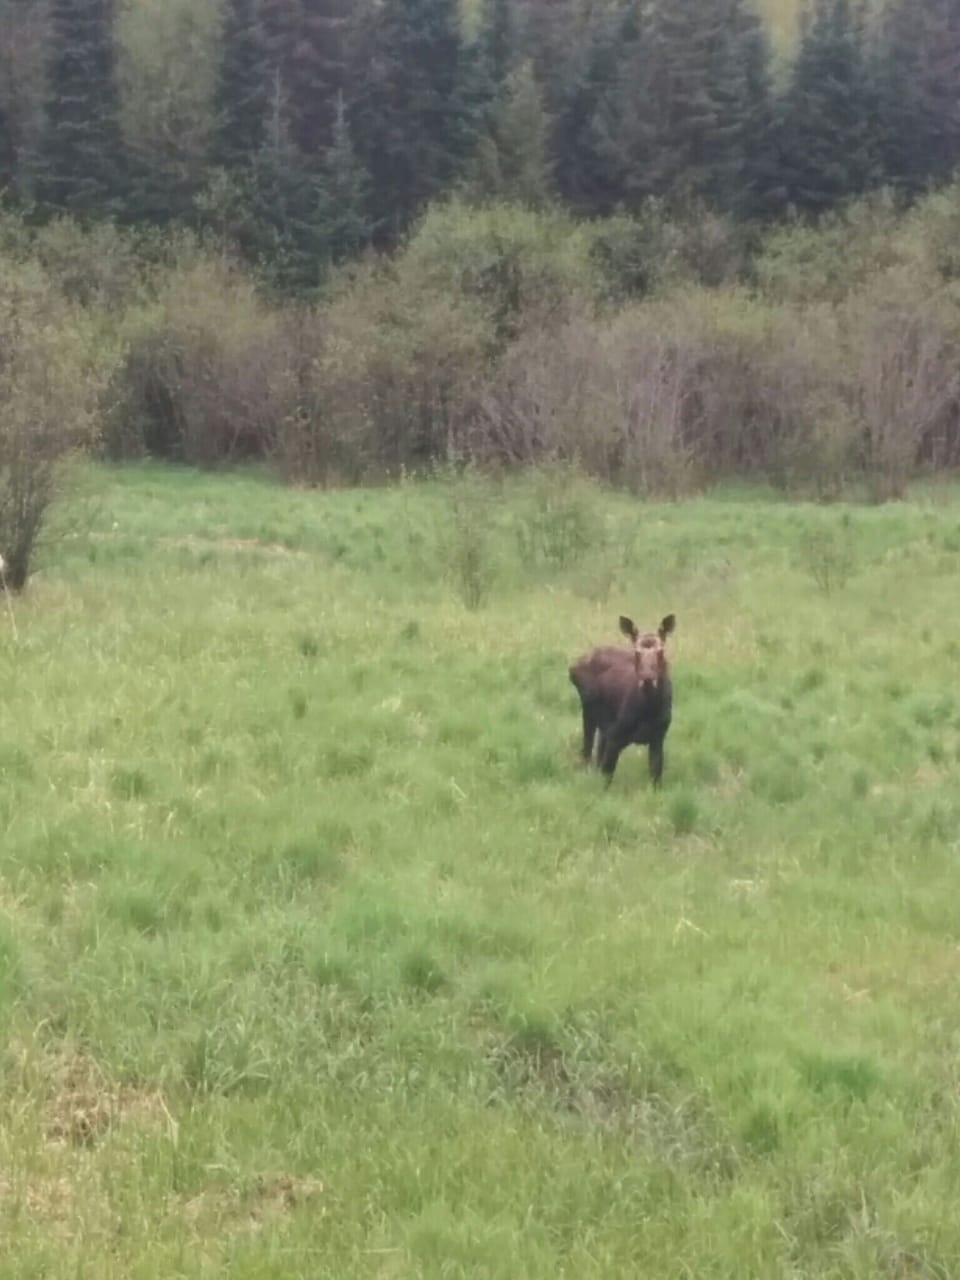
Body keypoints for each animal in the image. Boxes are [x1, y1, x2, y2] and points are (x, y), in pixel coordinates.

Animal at [569, 613, 676, 788]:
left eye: (661, 651)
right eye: (637, 652)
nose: (647, 678)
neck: (648, 709)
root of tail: (572, 667)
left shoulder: (658, 736)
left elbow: (655, 776)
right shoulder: (616, 735)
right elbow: (606, 776)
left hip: (603, 724)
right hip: (589, 712)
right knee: (587, 752)